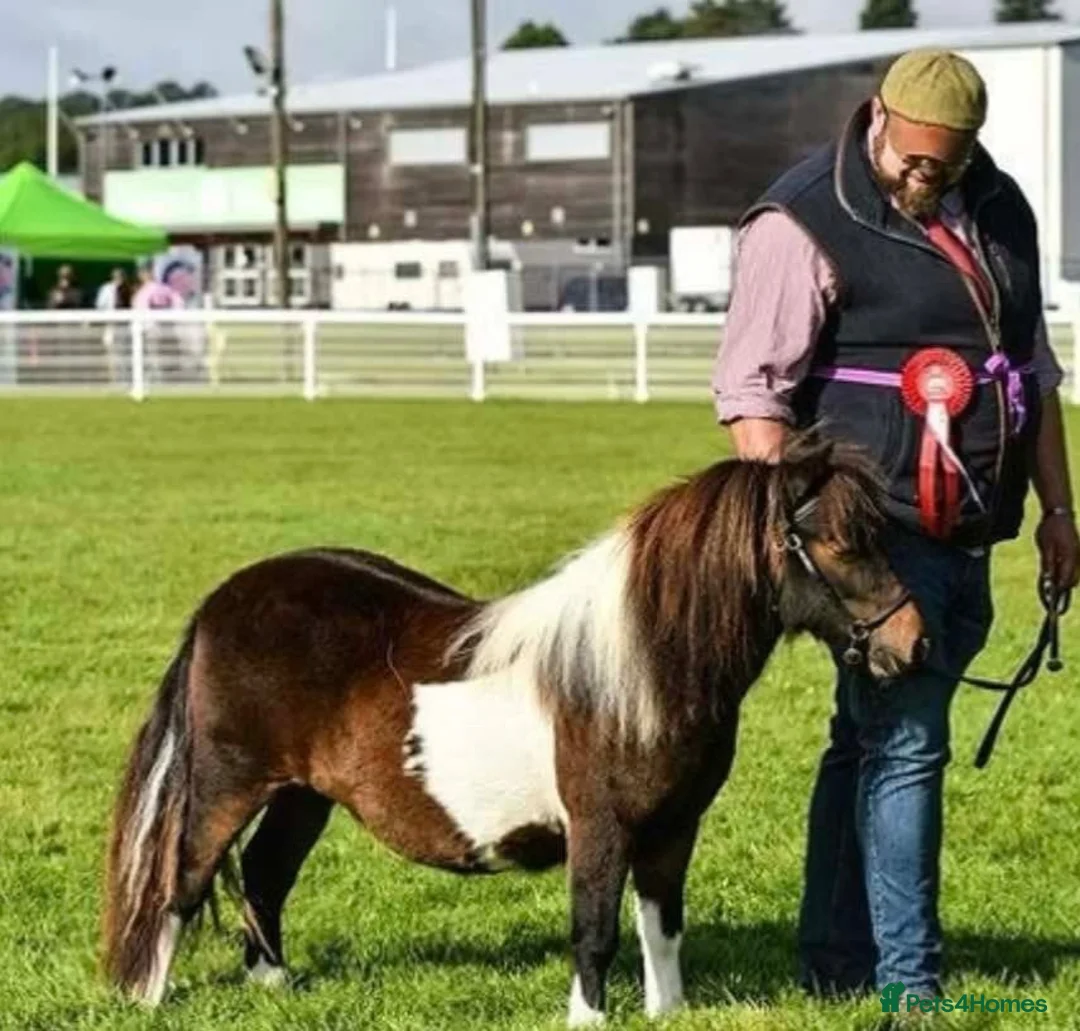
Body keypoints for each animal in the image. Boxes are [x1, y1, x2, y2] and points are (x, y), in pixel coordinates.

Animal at [101, 433, 927, 1025]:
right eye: (840, 543)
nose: (914, 644)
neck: (635, 667)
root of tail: (221, 603)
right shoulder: (601, 825)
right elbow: (595, 928)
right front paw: (588, 1019)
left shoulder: (672, 826)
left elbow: (662, 925)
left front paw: (668, 1012)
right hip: (226, 785)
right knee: (182, 880)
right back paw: (149, 997)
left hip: (304, 793)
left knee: (265, 873)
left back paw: (275, 985)